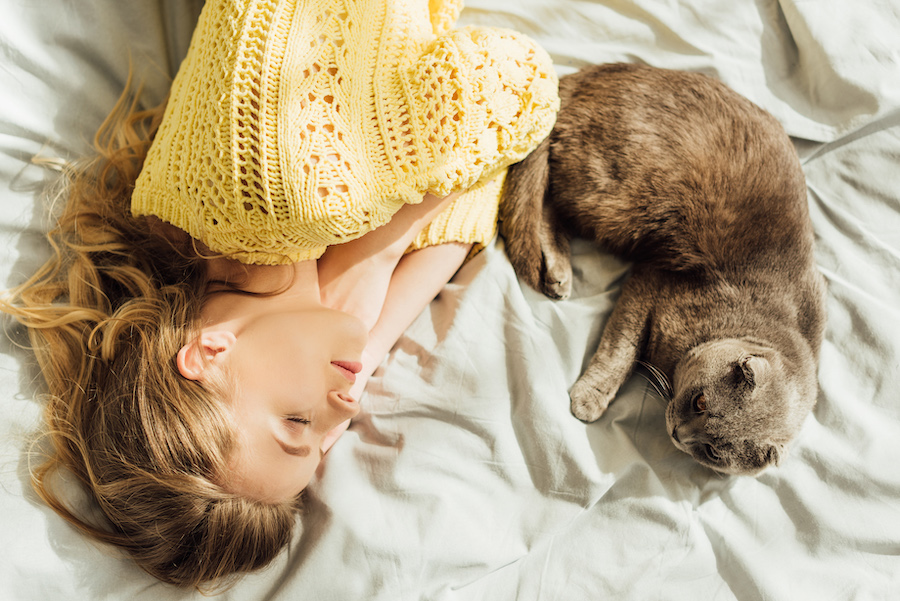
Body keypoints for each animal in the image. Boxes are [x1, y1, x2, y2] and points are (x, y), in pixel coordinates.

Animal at [502, 62, 828, 474]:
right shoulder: (652, 279)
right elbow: (621, 349)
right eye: (700, 401)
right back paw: (560, 273)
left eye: (712, 452)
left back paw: (558, 272)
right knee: (547, 196)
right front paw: (590, 399)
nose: (677, 433)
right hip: (614, 196)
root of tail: (592, 73)